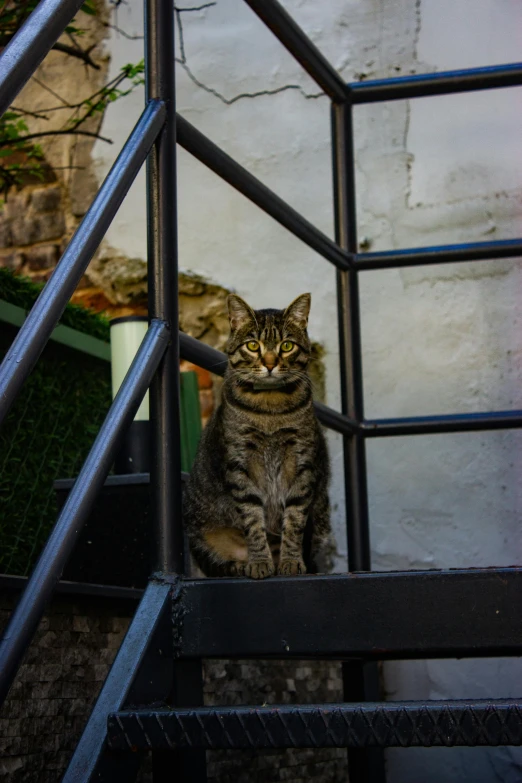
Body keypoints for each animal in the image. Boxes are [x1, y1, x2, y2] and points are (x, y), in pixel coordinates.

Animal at [183, 290, 330, 580]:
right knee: (220, 565)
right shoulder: (240, 465)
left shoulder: (302, 464)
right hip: (198, 535)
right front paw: (260, 562)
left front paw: (290, 562)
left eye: (286, 346)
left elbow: (294, 521)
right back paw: (242, 564)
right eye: (253, 346)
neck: (269, 408)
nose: (270, 364)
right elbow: (252, 521)